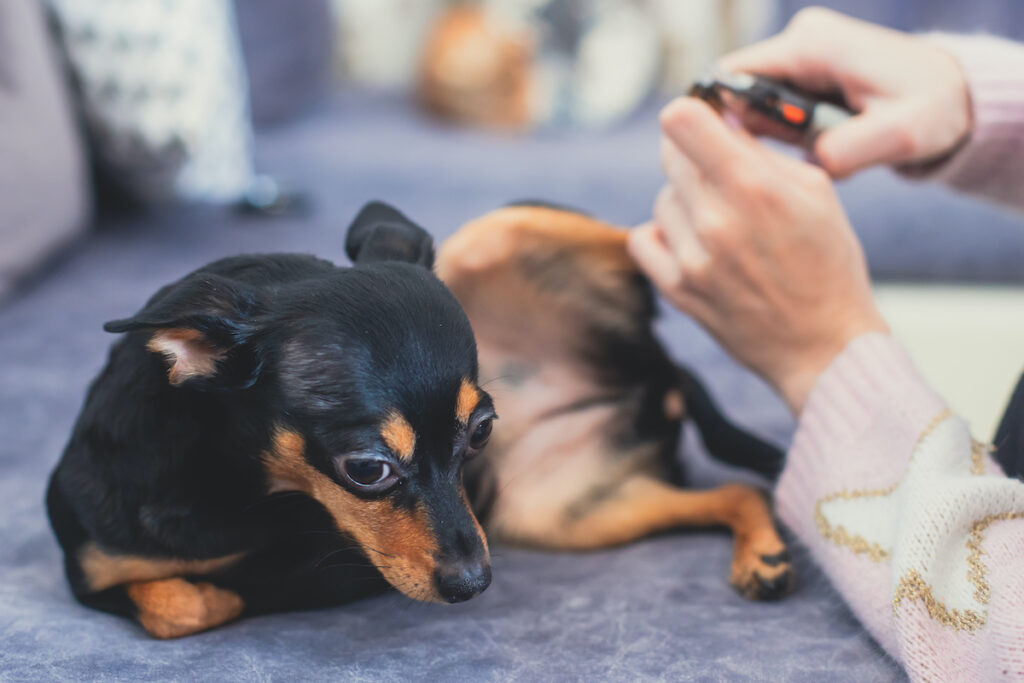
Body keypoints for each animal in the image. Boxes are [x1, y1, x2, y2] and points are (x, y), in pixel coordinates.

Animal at [46, 200, 790, 638]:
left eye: (481, 430)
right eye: (367, 469)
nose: (475, 583)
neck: (244, 488)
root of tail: (657, 375)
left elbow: (215, 594)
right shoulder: (94, 579)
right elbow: (177, 605)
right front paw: (242, 585)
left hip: (497, 230)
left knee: (647, 234)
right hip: (572, 514)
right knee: (737, 489)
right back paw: (765, 551)